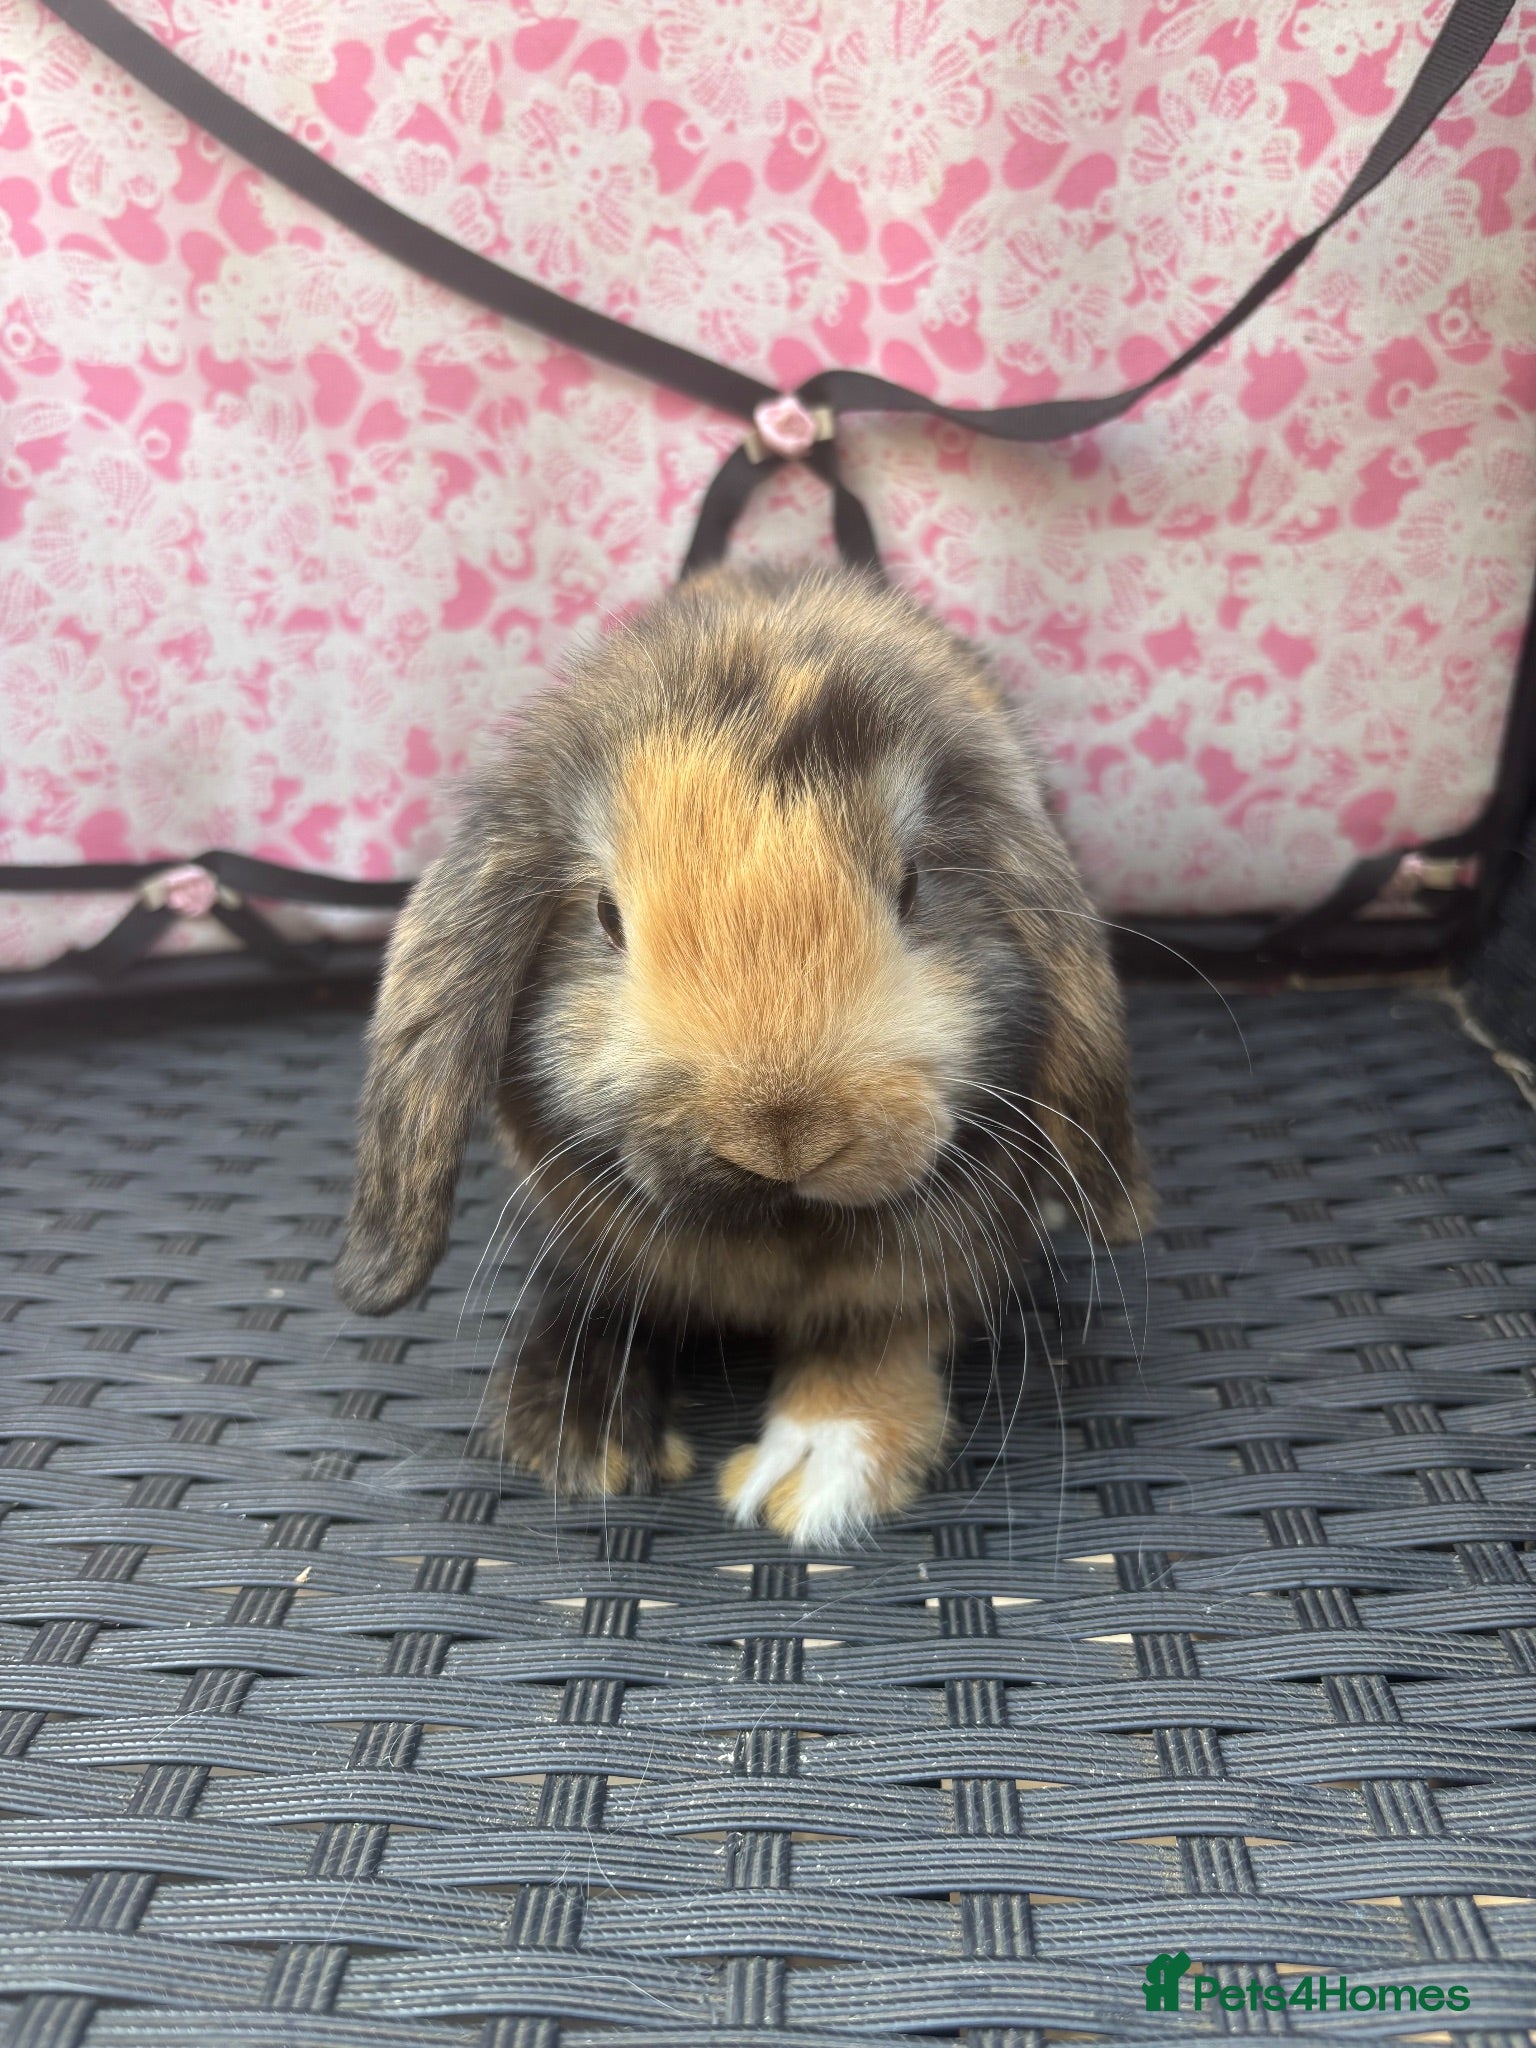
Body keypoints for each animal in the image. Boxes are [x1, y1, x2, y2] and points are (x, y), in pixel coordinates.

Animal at [334, 564, 1150, 1546]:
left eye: (914, 887)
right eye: (606, 917)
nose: (783, 1134)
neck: (777, 1222)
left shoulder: (931, 1268)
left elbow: (876, 1339)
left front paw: (815, 1468)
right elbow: (595, 1297)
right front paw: (578, 1437)